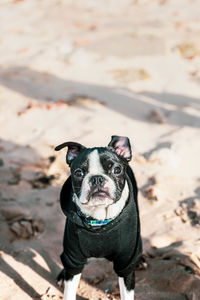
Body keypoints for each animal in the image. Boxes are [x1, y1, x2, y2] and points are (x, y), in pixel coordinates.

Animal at [54, 137, 142, 300]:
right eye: (78, 173)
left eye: (117, 170)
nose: (97, 179)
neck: (99, 221)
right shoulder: (74, 259)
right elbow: (69, 292)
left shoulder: (125, 264)